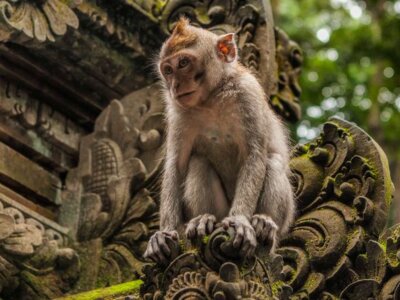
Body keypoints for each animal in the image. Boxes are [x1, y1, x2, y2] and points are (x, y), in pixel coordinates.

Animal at [143, 17, 294, 264]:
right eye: (168, 70)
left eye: (183, 63)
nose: (175, 86)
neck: (211, 98)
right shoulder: (177, 113)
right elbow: (177, 164)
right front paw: (165, 232)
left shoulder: (247, 94)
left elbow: (255, 155)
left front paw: (240, 220)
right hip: (222, 209)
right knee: (198, 161)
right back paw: (204, 220)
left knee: (272, 162)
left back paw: (264, 224)